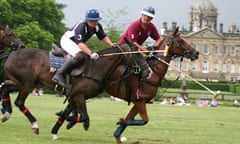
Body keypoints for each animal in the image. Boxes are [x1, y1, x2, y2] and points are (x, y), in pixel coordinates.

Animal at [2, 34, 150, 135]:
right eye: (136, 54)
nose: (148, 71)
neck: (97, 67)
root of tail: (12, 54)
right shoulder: (78, 96)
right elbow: (84, 117)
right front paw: (70, 121)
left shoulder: (75, 96)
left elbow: (69, 113)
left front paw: (56, 130)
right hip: (27, 84)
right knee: (19, 102)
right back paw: (34, 125)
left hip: (22, 83)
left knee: (5, 88)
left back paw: (6, 114)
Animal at [51, 26, 200, 142]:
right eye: (181, 40)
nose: (196, 53)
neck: (154, 72)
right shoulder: (139, 100)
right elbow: (144, 120)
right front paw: (120, 123)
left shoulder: (140, 102)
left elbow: (132, 119)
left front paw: (118, 134)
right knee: (73, 106)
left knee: (71, 106)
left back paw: (63, 124)